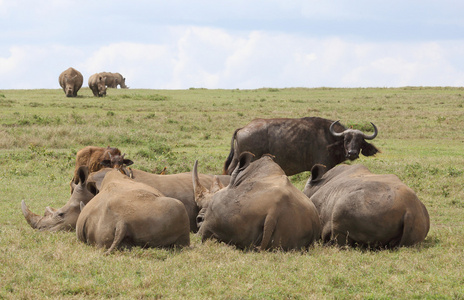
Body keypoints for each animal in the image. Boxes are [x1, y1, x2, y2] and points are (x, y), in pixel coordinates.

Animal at [223, 116, 378, 176]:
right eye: (346, 139)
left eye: (360, 141)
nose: (352, 153)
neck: (330, 137)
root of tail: (243, 128)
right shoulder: (323, 166)